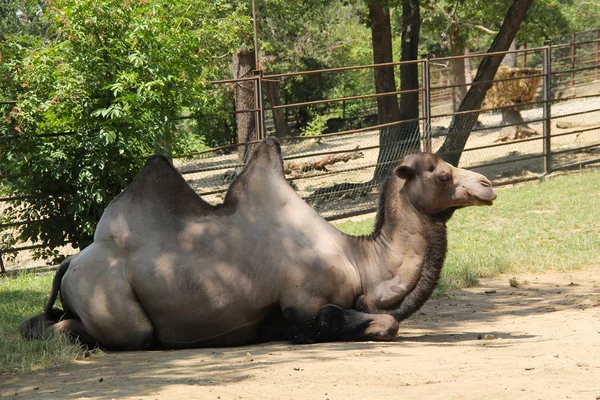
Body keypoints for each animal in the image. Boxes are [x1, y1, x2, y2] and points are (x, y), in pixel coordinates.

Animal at [19, 138, 496, 350]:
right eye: (441, 173)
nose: (487, 185)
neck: (360, 262)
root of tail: (71, 262)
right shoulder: (304, 302)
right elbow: (374, 322)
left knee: (44, 320)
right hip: (111, 301)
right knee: (111, 333)